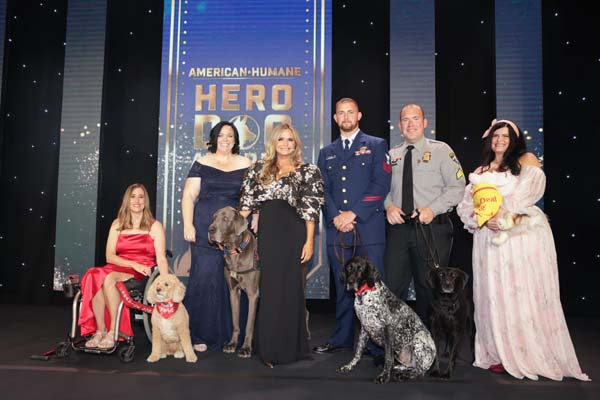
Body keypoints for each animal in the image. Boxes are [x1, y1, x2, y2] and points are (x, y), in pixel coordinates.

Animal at [207, 206, 258, 356]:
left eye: (225, 219)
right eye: (214, 218)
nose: (210, 230)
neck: (236, 251)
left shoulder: (253, 294)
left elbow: (249, 325)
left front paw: (246, 348)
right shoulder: (233, 291)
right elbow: (235, 321)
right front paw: (232, 344)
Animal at [338, 256, 436, 384]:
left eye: (360, 269)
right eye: (349, 268)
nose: (350, 282)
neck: (364, 294)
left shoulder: (387, 329)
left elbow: (388, 358)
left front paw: (384, 376)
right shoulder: (364, 328)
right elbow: (358, 351)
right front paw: (350, 366)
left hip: (419, 337)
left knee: (420, 371)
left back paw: (403, 375)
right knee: (412, 367)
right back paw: (400, 368)